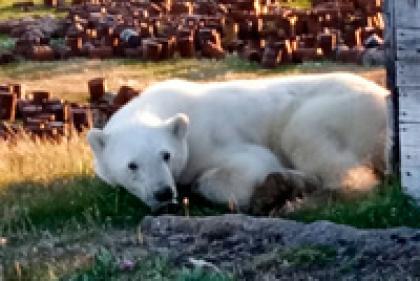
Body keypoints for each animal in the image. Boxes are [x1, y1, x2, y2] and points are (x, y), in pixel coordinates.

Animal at [88, 72, 390, 210]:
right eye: (132, 165)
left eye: (166, 155)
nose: (163, 193)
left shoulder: (209, 138)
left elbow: (252, 164)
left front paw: (198, 186)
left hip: (339, 109)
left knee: (308, 140)